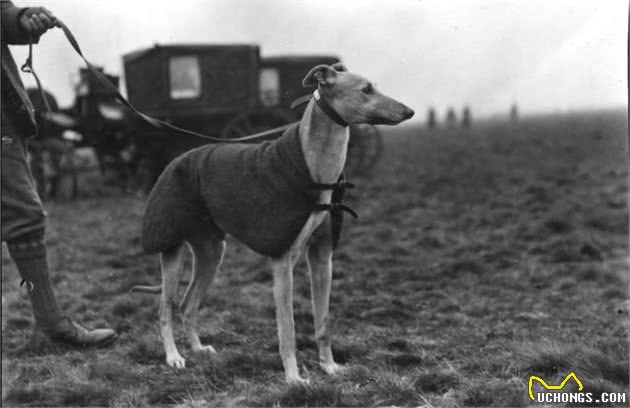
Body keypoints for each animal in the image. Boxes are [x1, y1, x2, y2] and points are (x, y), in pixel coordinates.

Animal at [133, 63, 414, 382]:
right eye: (366, 89)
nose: (410, 112)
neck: (315, 169)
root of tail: (173, 161)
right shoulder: (283, 261)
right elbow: (288, 328)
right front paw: (293, 378)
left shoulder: (322, 257)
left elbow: (323, 321)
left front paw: (329, 366)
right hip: (172, 249)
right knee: (165, 308)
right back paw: (174, 357)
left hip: (212, 252)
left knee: (187, 303)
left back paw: (197, 349)